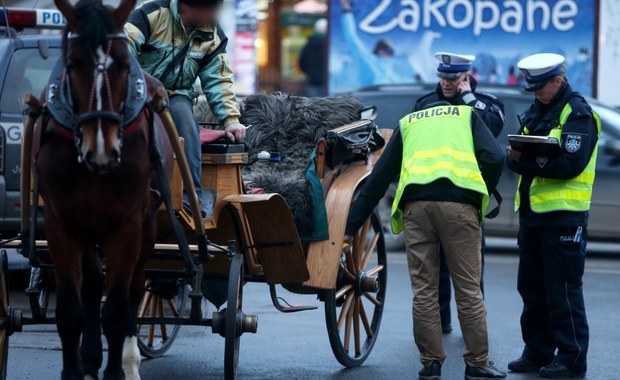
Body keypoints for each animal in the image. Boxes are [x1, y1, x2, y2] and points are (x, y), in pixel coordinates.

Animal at [34, 0, 172, 378]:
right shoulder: (60, 224)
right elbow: (70, 310)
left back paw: (128, 360)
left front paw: (117, 370)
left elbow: (118, 311)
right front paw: (75, 369)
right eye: (73, 63)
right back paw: (91, 357)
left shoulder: (127, 226)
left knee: (136, 288)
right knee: (94, 286)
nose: (101, 149)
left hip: (147, 227)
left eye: (125, 64)